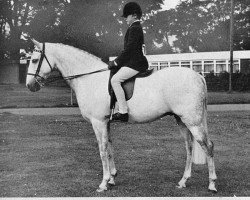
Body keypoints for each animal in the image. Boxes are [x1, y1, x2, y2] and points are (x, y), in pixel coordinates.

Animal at [25, 38, 217, 192]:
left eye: (34, 60)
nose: (29, 85)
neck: (90, 79)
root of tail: (198, 76)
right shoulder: (106, 123)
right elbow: (110, 148)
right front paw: (112, 178)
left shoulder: (98, 122)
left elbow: (102, 150)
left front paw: (103, 183)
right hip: (181, 120)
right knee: (189, 147)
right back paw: (183, 181)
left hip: (193, 121)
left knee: (207, 146)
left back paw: (212, 184)